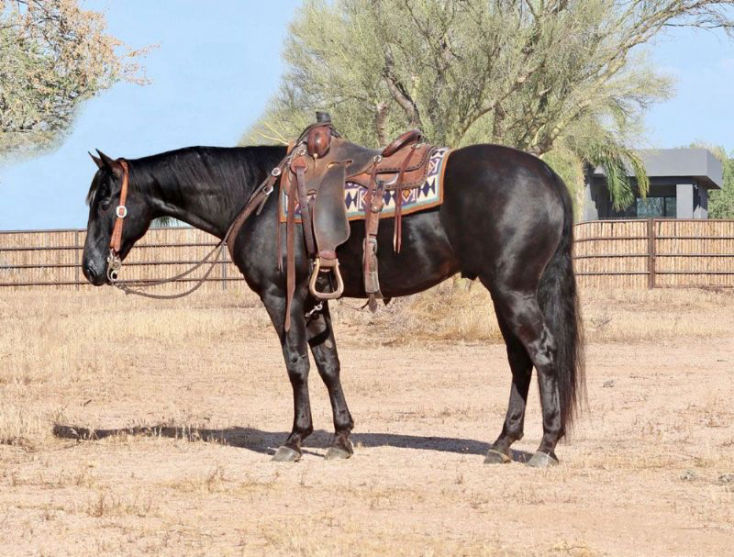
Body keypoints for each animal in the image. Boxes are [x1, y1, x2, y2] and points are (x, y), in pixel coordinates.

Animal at [82, 138, 584, 467]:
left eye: (104, 201)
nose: (89, 268)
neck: (259, 197)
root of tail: (548, 177)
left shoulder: (280, 296)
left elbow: (296, 364)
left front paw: (294, 439)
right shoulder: (313, 299)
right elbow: (328, 364)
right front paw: (341, 438)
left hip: (513, 291)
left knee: (542, 353)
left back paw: (546, 447)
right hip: (505, 293)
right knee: (519, 360)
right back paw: (502, 443)